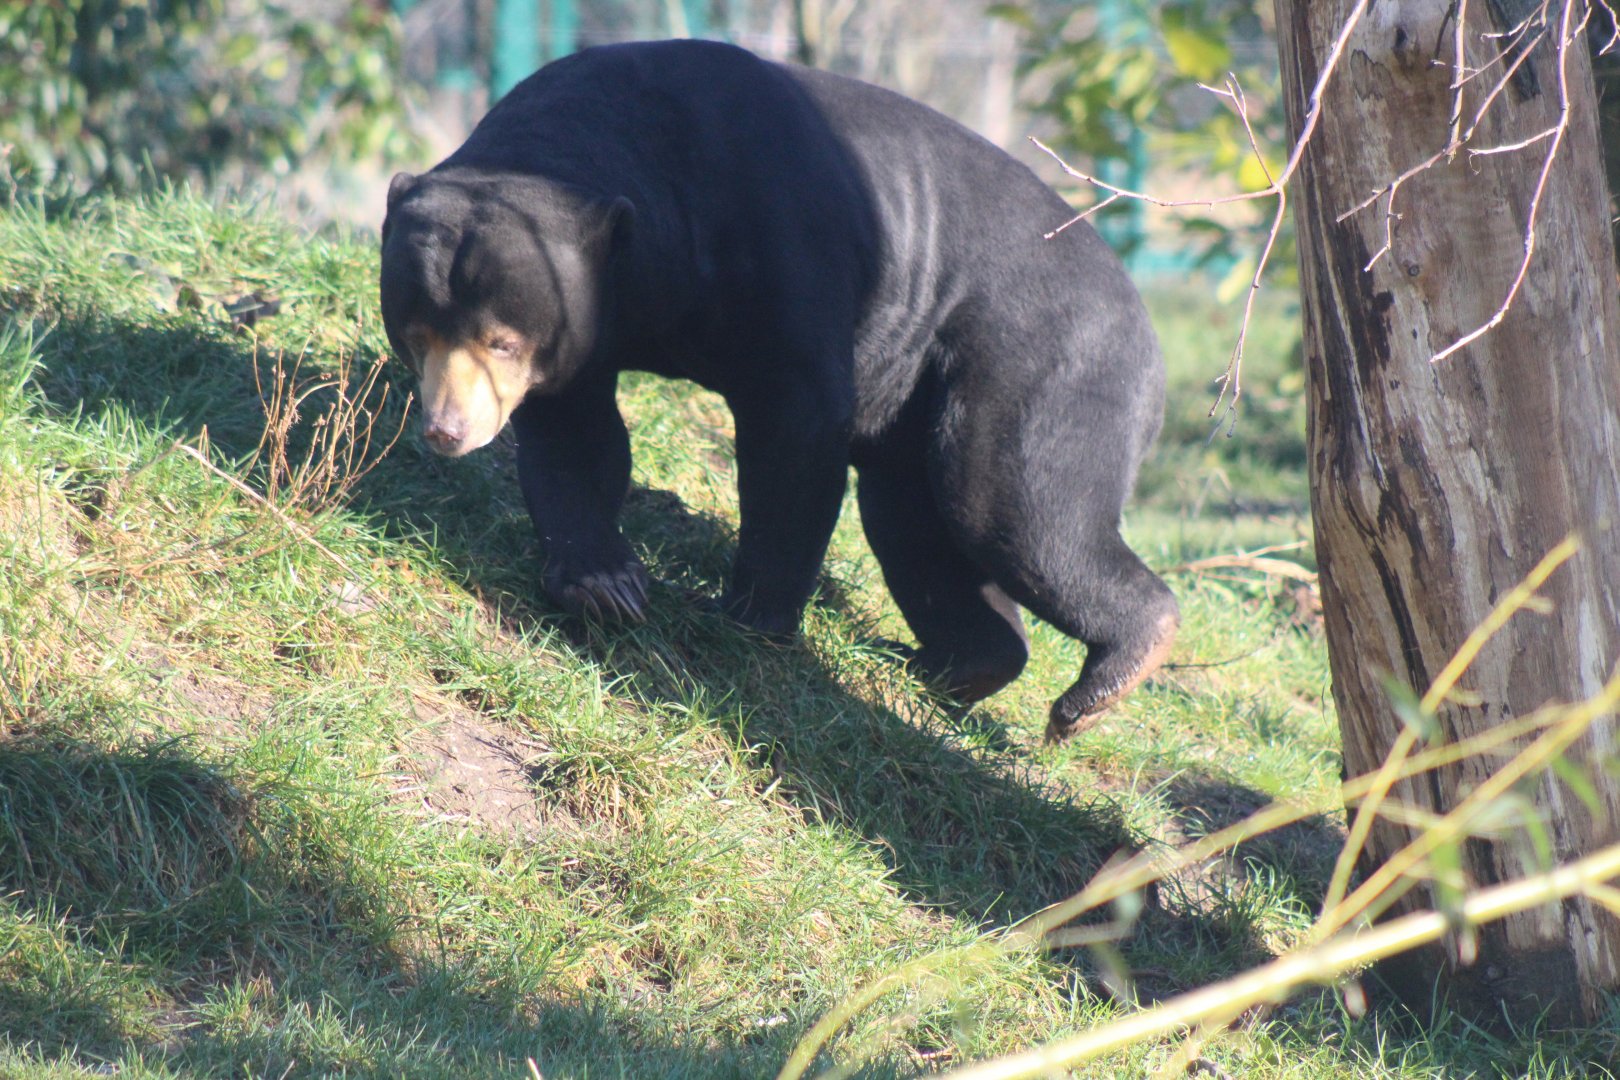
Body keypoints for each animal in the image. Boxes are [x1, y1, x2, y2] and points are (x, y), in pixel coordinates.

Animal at [378, 39, 1179, 740]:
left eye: (501, 340)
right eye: (416, 333)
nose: (447, 431)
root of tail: (1151, 338)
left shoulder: (781, 238)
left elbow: (798, 424)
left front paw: (745, 620)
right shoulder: (580, 331)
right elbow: (577, 433)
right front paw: (607, 586)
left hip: (1050, 364)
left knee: (1013, 503)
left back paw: (1100, 686)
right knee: (911, 523)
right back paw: (945, 666)